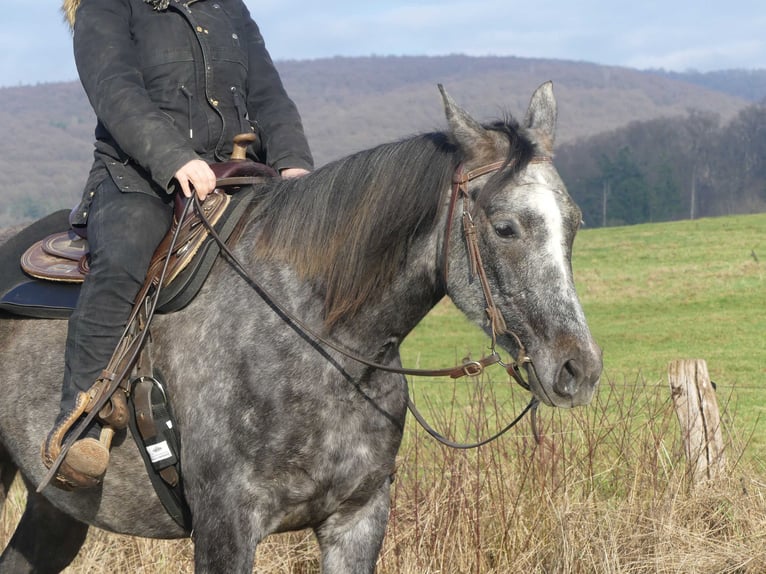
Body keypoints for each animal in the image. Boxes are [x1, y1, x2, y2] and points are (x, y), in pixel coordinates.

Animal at [0, 82, 602, 573]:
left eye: (574, 222)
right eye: (505, 227)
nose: (579, 369)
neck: (317, 341)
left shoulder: (357, 519)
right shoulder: (226, 527)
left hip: (55, 509)